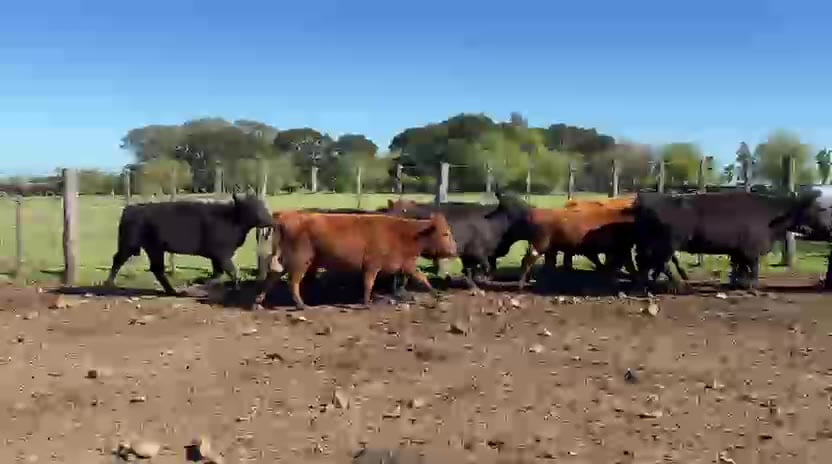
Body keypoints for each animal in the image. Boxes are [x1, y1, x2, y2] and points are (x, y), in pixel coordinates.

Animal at [104, 193, 273, 295]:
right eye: (251, 207)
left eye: (262, 205)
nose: (269, 219)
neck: (232, 217)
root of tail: (130, 208)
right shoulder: (221, 254)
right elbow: (232, 271)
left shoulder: (217, 256)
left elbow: (219, 273)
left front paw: (201, 282)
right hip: (130, 245)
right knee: (118, 260)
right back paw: (108, 284)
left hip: (154, 248)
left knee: (157, 269)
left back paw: (172, 291)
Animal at [255, 211, 457, 310]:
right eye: (445, 233)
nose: (455, 250)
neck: (404, 235)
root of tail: (286, 215)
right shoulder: (372, 264)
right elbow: (369, 283)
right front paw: (367, 303)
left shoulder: (406, 264)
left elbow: (422, 277)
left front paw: (437, 294)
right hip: (300, 260)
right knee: (293, 282)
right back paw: (301, 305)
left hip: (285, 259)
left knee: (272, 277)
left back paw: (258, 302)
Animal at [632, 190, 830, 291]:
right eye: (818, 209)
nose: (828, 228)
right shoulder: (751, 251)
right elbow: (753, 269)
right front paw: (753, 287)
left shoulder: (739, 251)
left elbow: (741, 269)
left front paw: (738, 284)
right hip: (666, 244)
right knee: (657, 263)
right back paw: (674, 285)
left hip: (653, 244)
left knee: (647, 263)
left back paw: (647, 284)